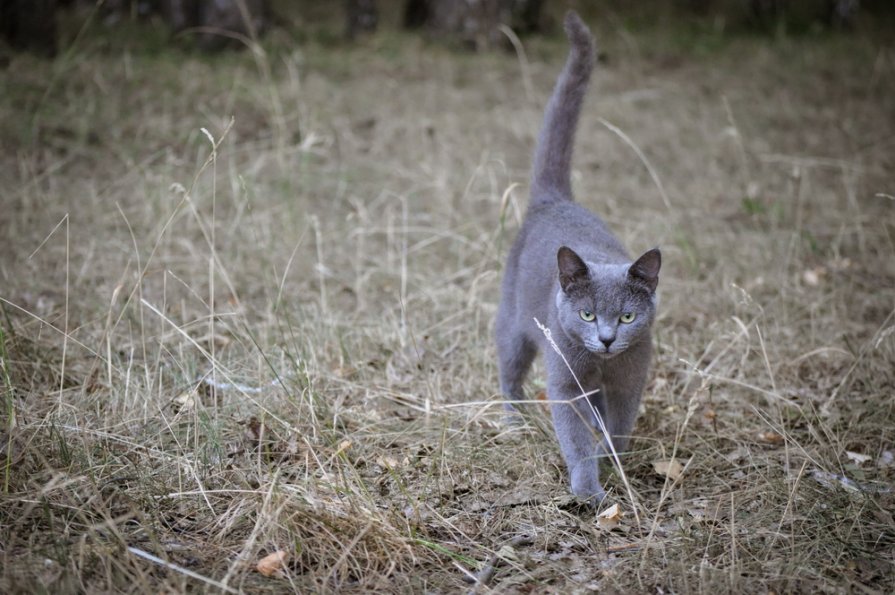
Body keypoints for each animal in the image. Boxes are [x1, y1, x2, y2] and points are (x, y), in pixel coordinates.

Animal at [494, 10, 660, 502]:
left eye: (627, 317)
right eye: (586, 314)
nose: (605, 339)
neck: (602, 364)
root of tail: (554, 200)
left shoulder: (630, 380)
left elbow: (619, 426)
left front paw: (613, 461)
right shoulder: (565, 381)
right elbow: (575, 437)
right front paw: (589, 491)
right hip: (514, 325)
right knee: (509, 372)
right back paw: (513, 422)